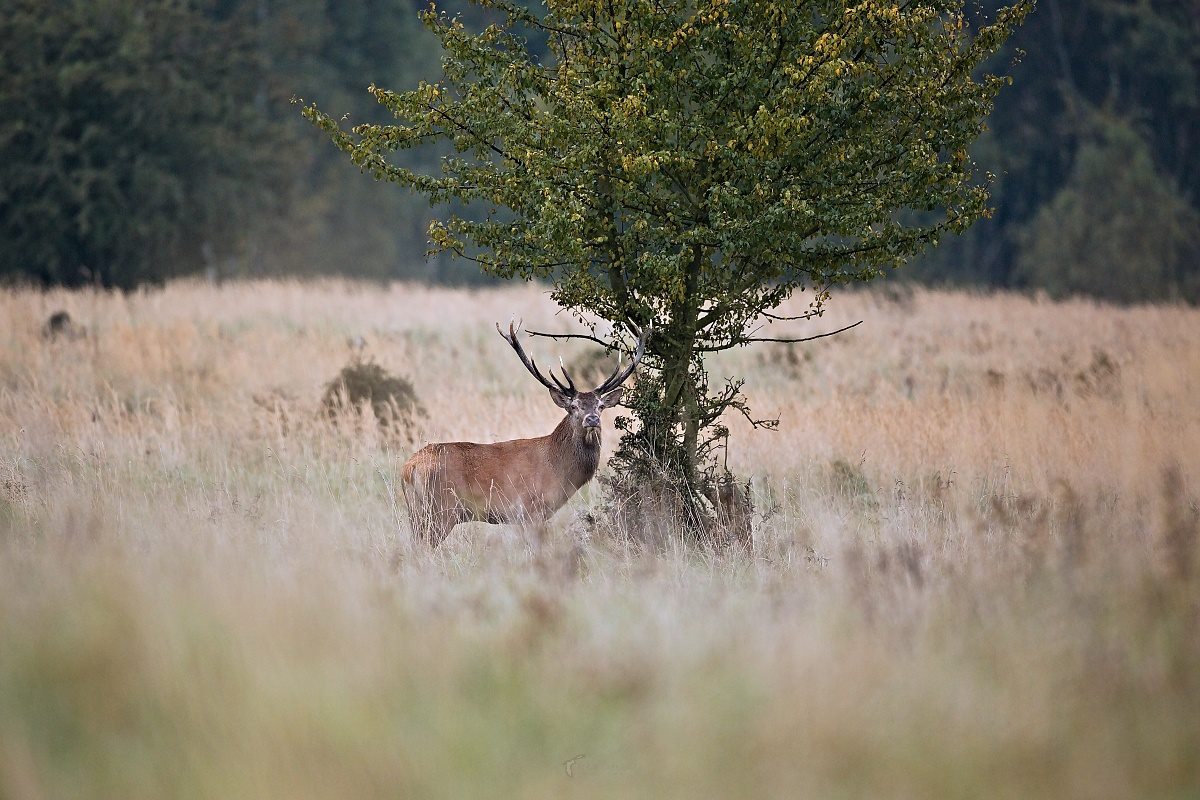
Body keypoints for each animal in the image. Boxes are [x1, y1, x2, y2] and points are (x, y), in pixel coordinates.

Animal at [400, 321, 648, 546]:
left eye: (600, 406)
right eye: (573, 406)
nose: (592, 419)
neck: (558, 468)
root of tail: (408, 468)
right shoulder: (530, 510)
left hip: (417, 513)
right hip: (441, 510)